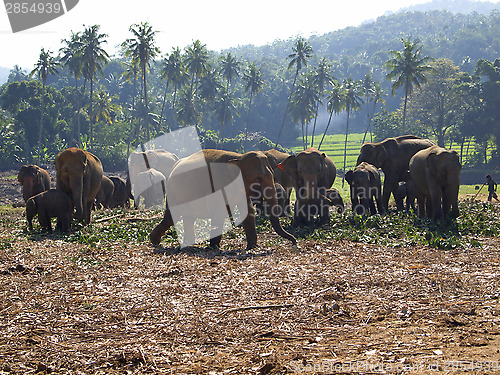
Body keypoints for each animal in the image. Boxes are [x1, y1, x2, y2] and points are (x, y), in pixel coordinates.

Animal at [149, 149, 296, 250]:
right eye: (258, 178)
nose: (295, 242)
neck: (238, 157)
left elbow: (248, 213)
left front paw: (252, 247)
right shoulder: (217, 184)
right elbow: (218, 212)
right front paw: (214, 247)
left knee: (188, 218)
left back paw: (186, 243)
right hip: (173, 192)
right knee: (170, 218)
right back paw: (154, 241)